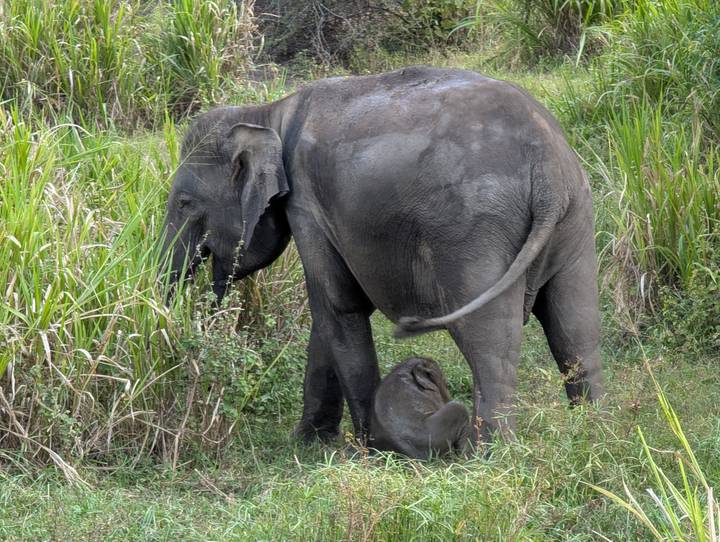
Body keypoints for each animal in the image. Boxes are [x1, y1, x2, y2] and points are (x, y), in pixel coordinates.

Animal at [161, 65, 603, 446]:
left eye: (183, 203)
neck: (269, 113)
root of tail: (547, 170)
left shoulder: (307, 205)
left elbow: (336, 306)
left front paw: (370, 446)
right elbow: (327, 318)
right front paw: (309, 441)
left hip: (475, 228)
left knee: (489, 339)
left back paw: (491, 454)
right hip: (575, 218)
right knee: (575, 327)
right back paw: (594, 433)